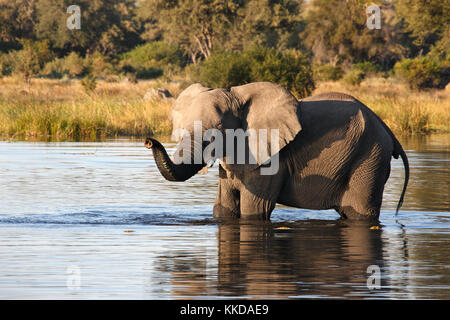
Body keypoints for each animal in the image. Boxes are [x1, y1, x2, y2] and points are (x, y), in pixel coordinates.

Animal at [146, 81, 410, 221]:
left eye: (216, 133)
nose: (149, 141)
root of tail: (387, 128)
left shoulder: (271, 160)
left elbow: (253, 210)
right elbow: (223, 207)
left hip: (370, 158)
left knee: (360, 213)